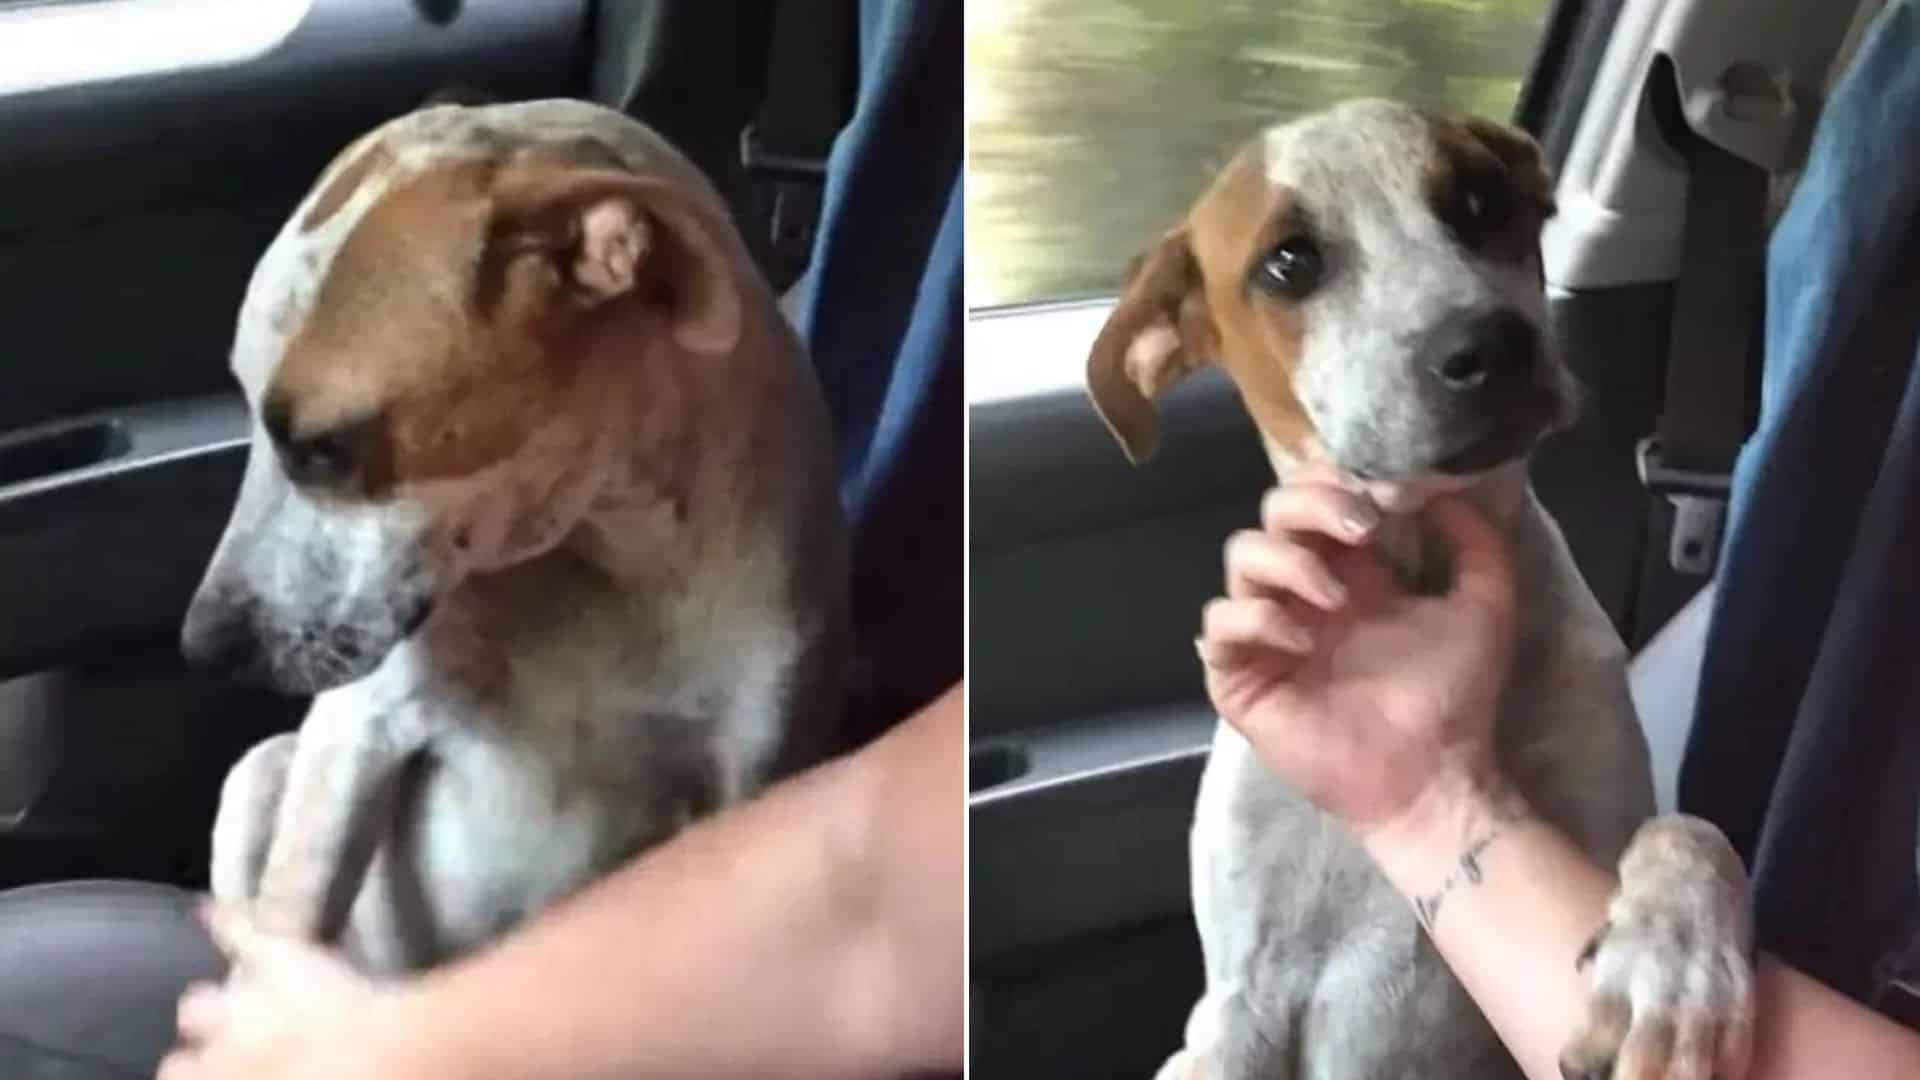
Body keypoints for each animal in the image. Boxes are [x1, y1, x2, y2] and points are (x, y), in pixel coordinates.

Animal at [178, 98, 848, 968]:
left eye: (326, 448)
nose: (201, 646)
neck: (606, 565)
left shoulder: (756, 771)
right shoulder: (357, 733)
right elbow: (290, 929)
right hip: (264, 772)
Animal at [1090, 98, 1751, 1076]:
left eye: (1480, 200)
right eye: (1289, 260)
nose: (1492, 345)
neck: (1417, 555)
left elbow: (1692, 831)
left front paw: (1677, 963)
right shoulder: (1241, 1005)